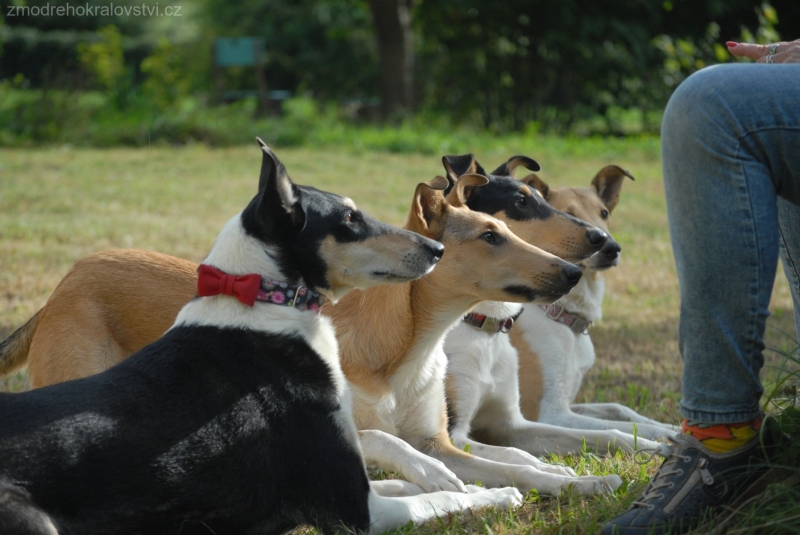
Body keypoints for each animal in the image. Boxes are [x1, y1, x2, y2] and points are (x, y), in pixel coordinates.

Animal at [0, 141, 520, 535]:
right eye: (349, 220)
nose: (436, 249)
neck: (265, 305)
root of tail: (57, 291)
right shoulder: (357, 510)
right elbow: (443, 497)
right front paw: (496, 490)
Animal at [326, 169, 624, 498]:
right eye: (489, 236)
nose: (574, 273)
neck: (409, 349)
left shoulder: (441, 442)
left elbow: (517, 466)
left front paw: (584, 482)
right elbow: (382, 436)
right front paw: (431, 472)